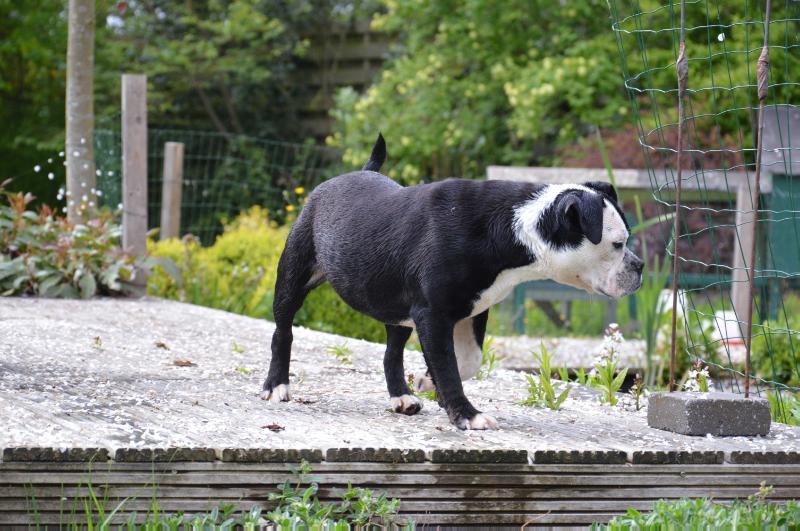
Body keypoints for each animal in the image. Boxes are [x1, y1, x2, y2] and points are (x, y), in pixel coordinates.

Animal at [262, 135, 644, 430]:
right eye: (617, 244)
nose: (639, 266)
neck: (515, 228)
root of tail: (357, 173)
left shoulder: (471, 310)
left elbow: (467, 360)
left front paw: (428, 382)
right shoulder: (433, 314)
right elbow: (448, 365)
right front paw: (466, 415)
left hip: (397, 308)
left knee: (392, 352)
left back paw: (402, 396)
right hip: (293, 275)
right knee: (283, 331)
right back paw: (276, 385)